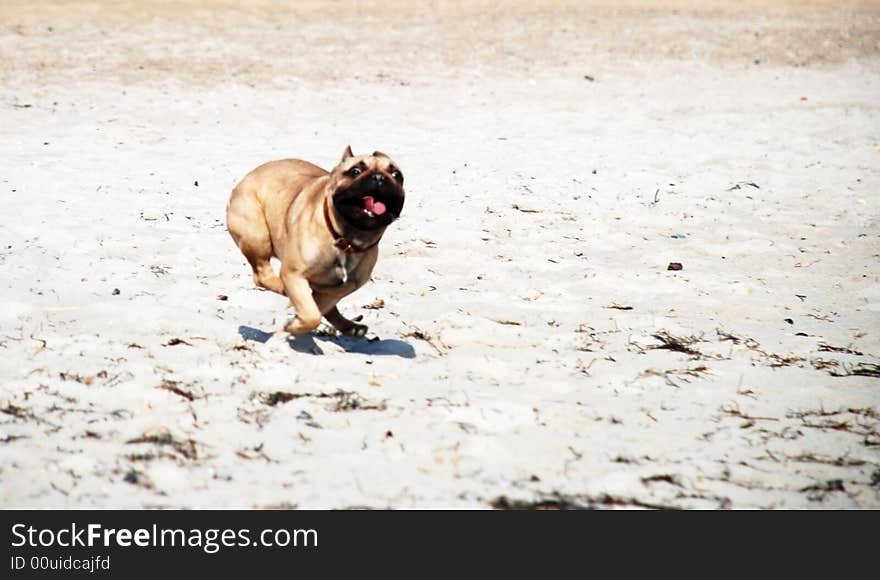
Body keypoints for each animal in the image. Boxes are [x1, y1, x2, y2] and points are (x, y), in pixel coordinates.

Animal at [227, 145, 406, 338]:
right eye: (355, 171)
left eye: (396, 175)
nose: (379, 177)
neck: (346, 239)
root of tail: (246, 178)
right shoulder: (294, 274)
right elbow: (311, 315)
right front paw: (293, 325)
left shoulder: (345, 286)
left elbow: (319, 307)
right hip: (257, 237)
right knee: (262, 274)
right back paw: (283, 288)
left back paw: (349, 326)